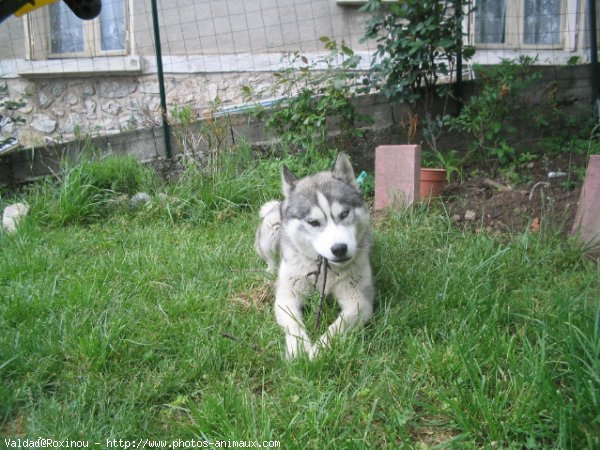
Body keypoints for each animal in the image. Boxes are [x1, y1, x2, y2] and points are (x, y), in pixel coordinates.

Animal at [255, 154, 372, 358]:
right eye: (313, 222)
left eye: (344, 213)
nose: (339, 249)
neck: (327, 269)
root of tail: (281, 204)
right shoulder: (287, 297)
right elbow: (293, 323)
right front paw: (298, 349)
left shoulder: (360, 302)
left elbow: (338, 326)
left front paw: (320, 349)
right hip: (271, 229)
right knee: (270, 259)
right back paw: (270, 272)